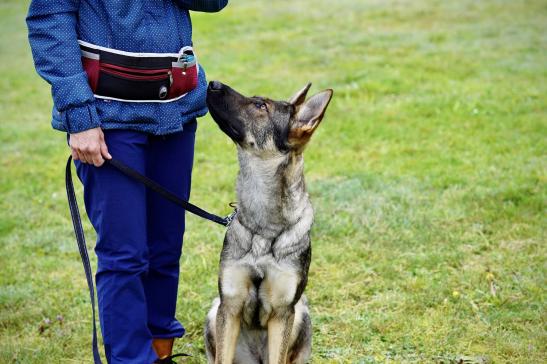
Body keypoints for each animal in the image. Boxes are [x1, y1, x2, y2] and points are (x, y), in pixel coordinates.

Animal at [206, 80, 334, 364]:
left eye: (260, 105)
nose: (212, 83)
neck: (263, 230)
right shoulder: (229, 305)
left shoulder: (282, 312)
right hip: (213, 312)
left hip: (301, 314)